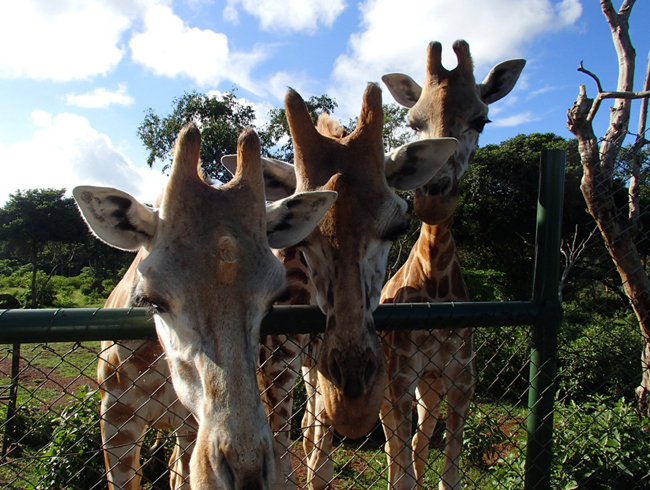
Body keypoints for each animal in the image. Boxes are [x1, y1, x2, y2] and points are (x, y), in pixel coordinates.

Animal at [74, 123, 336, 490]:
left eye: (272, 300)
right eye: (150, 301)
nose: (246, 471)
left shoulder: (189, 426)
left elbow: (181, 477)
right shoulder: (115, 420)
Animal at [223, 85, 456, 490]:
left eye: (397, 228)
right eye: (302, 239)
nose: (354, 403)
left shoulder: (318, 362)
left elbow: (319, 463)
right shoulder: (274, 363)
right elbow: (281, 461)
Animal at [378, 41, 524, 490]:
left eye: (482, 119)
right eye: (412, 123)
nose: (432, 198)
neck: (436, 284)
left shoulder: (462, 383)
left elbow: (450, 474)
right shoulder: (400, 378)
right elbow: (402, 468)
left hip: (431, 386)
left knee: (419, 440)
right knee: (392, 446)